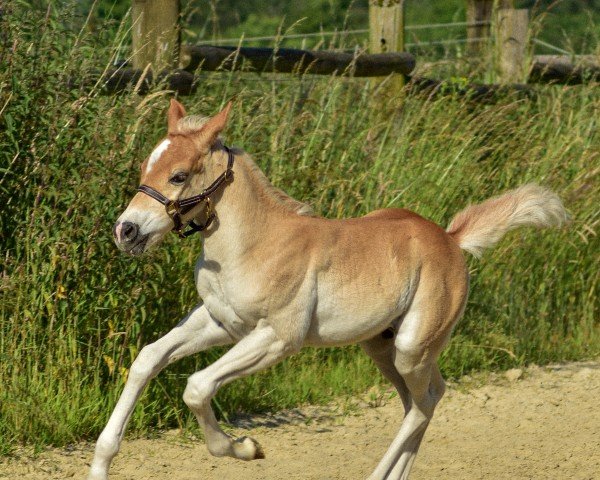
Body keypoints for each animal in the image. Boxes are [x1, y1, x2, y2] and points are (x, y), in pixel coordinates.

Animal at [86, 99, 564, 478]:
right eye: (146, 166)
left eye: (179, 175)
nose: (126, 231)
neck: (254, 242)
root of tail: (450, 239)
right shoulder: (220, 323)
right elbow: (148, 359)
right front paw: (101, 463)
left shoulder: (279, 337)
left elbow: (197, 387)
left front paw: (247, 447)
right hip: (381, 345)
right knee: (423, 399)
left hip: (412, 346)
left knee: (424, 403)